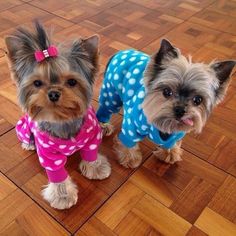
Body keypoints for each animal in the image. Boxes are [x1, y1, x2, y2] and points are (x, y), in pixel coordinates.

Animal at [4, 22, 111, 209]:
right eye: (37, 83)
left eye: (72, 82)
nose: (53, 93)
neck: (63, 119)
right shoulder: (49, 155)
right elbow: (57, 174)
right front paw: (63, 196)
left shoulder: (92, 139)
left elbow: (91, 154)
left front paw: (96, 168)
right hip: (23, 127)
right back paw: (29, 144)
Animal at [97, 38, 235, 167]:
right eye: (167, 92)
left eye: (198, 100)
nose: (180, 110)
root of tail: (121, 52)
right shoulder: (132, 126)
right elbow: (129, 140)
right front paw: (130, 158)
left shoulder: (175, 134)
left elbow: (170, 143)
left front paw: (169, 152)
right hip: (111, 93)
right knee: (106, 108)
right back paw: (103, 125)